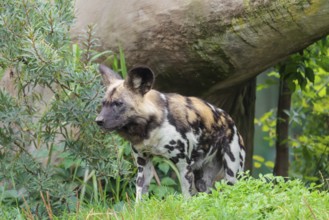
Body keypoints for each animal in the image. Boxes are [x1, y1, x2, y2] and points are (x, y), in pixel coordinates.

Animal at [95, 64, 243, 201]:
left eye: (118, 103)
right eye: (103, 103)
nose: (98, 121)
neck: (150, 130)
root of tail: (230, 120)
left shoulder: (184, 166)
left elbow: (186, 198)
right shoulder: (143, 164)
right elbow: (139, 195)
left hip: (232, 174)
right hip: (202, 180)